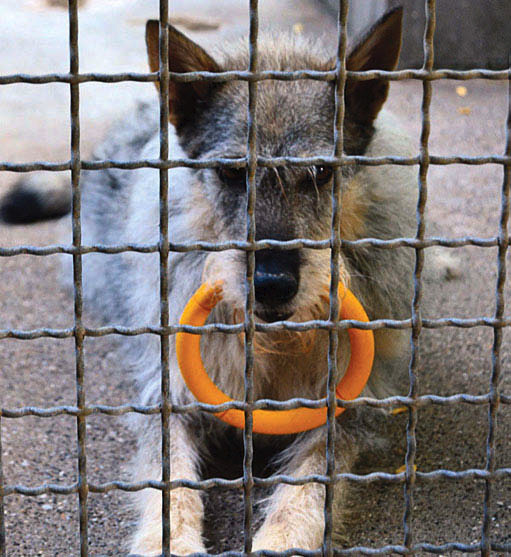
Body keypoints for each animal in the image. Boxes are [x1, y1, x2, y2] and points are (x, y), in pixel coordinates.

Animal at [1, 6, 464, 552]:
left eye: (321, 172)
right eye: (230, 173)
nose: (273, 282)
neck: (274, 343)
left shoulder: (347, 407)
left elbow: (311, 479)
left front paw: (282, 539)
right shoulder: (172, 395)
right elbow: (170, 479)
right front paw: (171, 543)